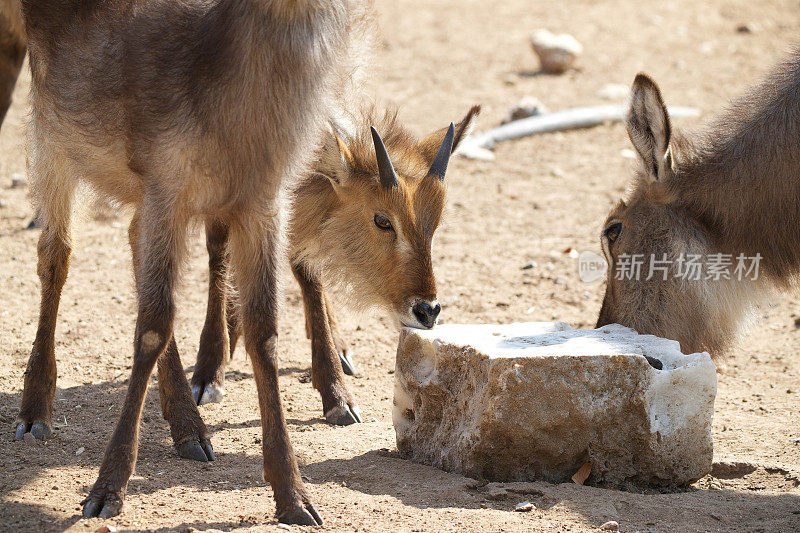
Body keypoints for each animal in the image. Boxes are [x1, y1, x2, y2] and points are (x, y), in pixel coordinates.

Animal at [15, 0, 382, 524]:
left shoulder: (264, 201)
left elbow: (265, 330)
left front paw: (294, 496)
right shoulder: (165, 181)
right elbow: (150, 326)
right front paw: (106, 490)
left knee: (129, 240)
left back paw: (187, 425)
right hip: (51, 130)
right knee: (56, 253)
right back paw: (35, 412)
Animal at [191, 106, 482, 426]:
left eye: (435, 224)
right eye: (382, 220)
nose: (428, 311)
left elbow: (309, 272)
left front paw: (336, 394)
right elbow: (219, 251)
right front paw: (208, 374)